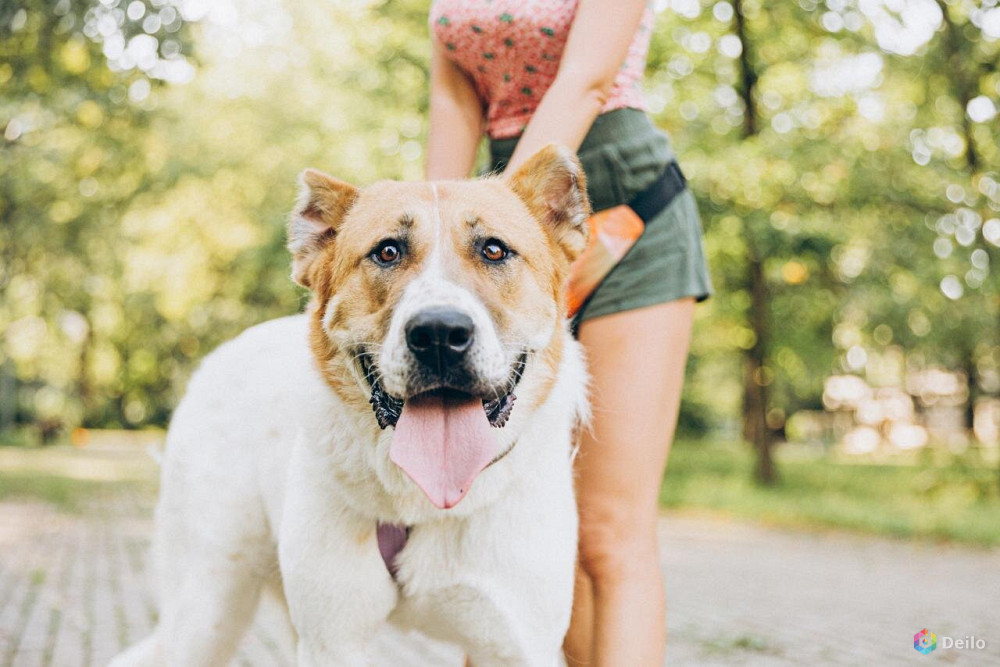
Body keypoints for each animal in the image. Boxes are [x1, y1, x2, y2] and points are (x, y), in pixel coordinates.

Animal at [112, 144, 588, 664]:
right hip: (207, 608)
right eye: (387, 251)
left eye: (494, 250)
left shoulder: (515, 643)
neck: (423, 502)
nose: (439, 334)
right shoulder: (332, 639)